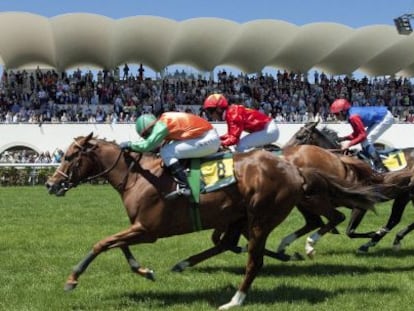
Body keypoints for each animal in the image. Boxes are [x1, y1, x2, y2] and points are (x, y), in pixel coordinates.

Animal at [45, 133, 378, 310]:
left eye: (71, 156)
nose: (50, 184)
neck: (139, 176)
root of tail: (293, 168)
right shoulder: (138, 226)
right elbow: (118, 245)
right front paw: (144, 270)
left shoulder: (148, 229)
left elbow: (102, 243)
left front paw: (72, 279)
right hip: (241, 215)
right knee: (232, 244)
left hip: (261, 217)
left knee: (255, 259)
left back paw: (236, 299)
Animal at [284, 119, 414, 254]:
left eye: (300, 136)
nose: (284, 150)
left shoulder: (361, 205)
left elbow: (349, 231)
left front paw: (373, 234)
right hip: (405, 196)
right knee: (395, 219)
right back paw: (389, 240)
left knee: (394, 220)